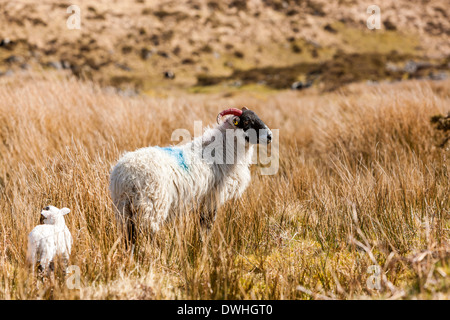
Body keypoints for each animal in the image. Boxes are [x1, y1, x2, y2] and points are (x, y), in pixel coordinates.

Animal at [110, 106, 272, 241]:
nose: (270, 136)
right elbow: (206, 226)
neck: (223, 150)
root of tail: (125, 175)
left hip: (124, 210)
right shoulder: (211, 198)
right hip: (150, 208)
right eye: (247, 121)